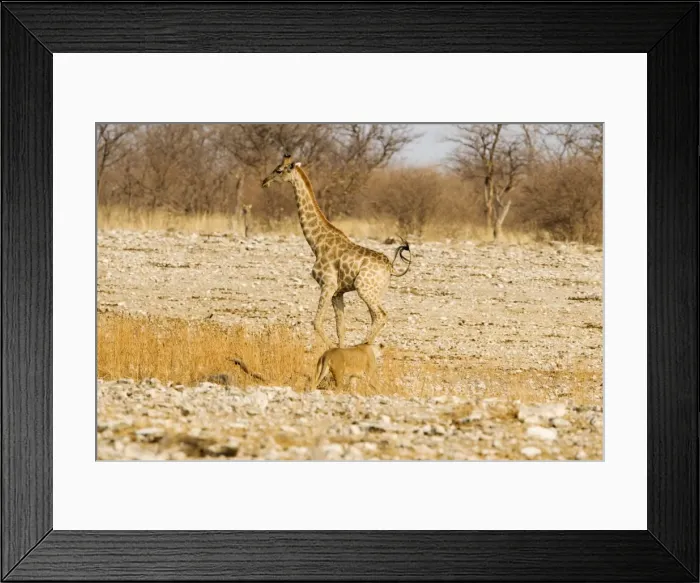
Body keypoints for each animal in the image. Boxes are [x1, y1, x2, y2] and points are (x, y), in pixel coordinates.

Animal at [262, 154, 411, 347]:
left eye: (279, 170)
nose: (264, 181)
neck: (317, 243)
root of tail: (390, 268)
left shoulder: (328, 284)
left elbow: (317, 322)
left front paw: (331, 348)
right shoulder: (338, 292)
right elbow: (341, 328)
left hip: (364, 288)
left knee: (381, 316)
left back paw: (363, 346)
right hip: (377, 291)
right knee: (375, 316)